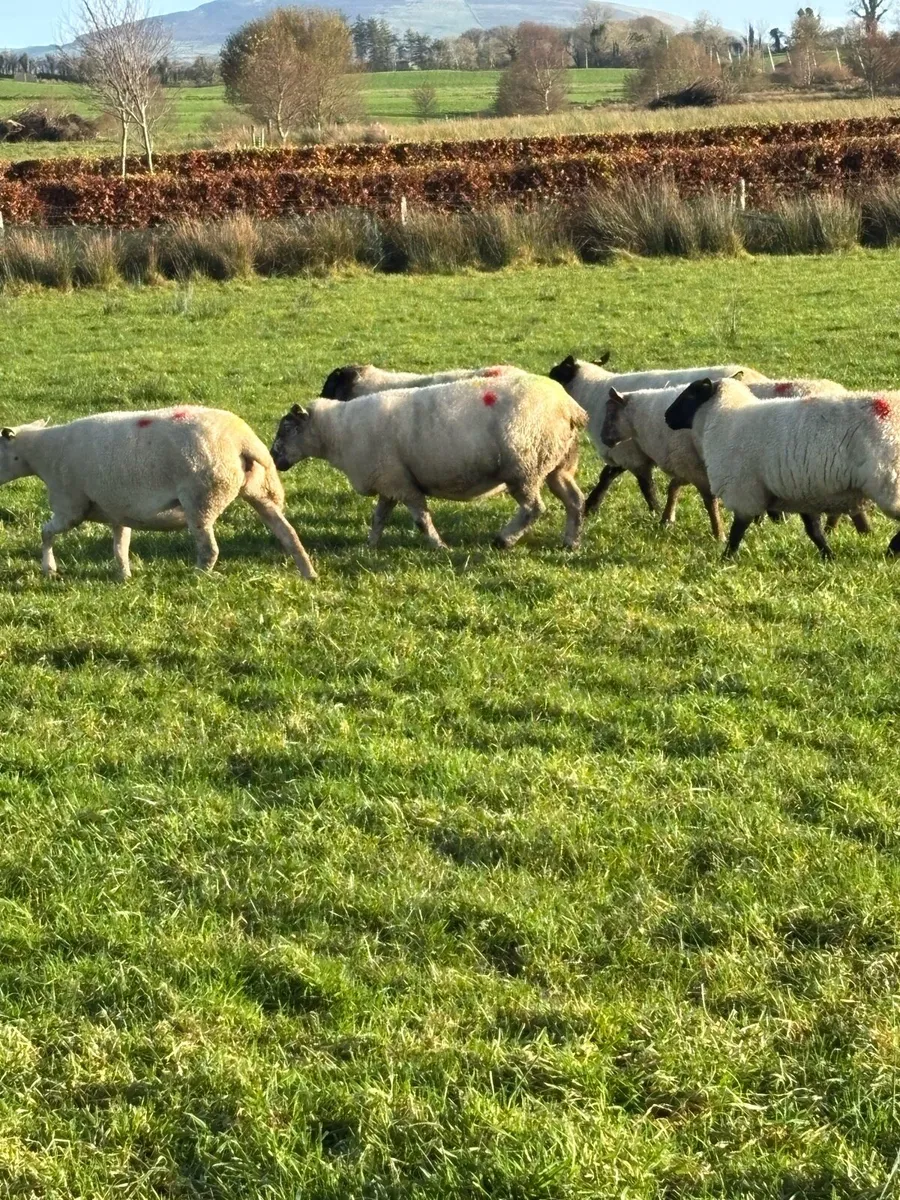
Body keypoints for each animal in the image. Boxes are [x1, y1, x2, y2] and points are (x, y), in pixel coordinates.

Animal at [0, 407, 316, 580]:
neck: (41, 453)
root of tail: (243, 441)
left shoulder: (70, 507)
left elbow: (45, 532)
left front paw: (49, 569)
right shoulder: (118, 508)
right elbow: (120, 545)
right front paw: (124, 576)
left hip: (202, 497)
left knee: (209, 548)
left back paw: (197, 577)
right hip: (259, 490)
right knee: (287, 533)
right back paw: (308, 573)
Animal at [271, 374, 588, 551]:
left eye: (286, 429)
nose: (273, 458)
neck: (336, 433)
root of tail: (570, 407)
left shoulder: (402, 485)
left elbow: (421, 520)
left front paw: (439, 546)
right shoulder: (390, 481)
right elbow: (379, 517)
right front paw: (369, 546)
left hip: (524, 468)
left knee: (534, 509)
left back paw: (504, 540)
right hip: (555, 464)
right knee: (574, 500)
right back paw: (570, 542)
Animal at [547, 355, 769, 518]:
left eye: (555, 374)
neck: (594, 391)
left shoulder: (628, 451)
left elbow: (642, 485)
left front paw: (655, 511)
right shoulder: (631, 451)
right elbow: (608, 476)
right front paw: (591, 506)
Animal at [664, 378, 900, 560]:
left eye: (690, 395)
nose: (666, 417)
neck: (726, 418)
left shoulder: (745, 492)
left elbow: (736, 532)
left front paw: (726, 559)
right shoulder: (803, 492)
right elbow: (814, 531)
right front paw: (829, 556)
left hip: (891, 484)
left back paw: (891, 550)